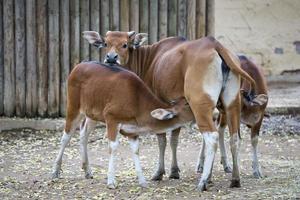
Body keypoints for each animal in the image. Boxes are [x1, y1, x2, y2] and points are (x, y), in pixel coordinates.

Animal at [51, 61, 195, 188]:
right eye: (187, 104)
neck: (137, 102)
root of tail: (77, 67)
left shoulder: (132, 130)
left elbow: (136, 150)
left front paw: (142, 181)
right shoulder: (111, 118)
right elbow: (113, 147)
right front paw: (111, 182)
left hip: (92, 114)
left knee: (83, 135)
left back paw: (87, 171)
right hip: (73, 106)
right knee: (66, 137)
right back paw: (55, 171)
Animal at [82, 30, 264, 191]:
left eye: (125, 44)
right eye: (106, 43)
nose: (111, 58)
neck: (150, 59)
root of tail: (215, 45)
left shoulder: (158, 105)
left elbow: (162, 139)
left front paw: (160, 172)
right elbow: (174, 139)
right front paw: (175, 171)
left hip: (200, 105)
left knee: (211, 137)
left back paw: (203, 182)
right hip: (232, 105)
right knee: (234, 138)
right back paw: (235, 179)